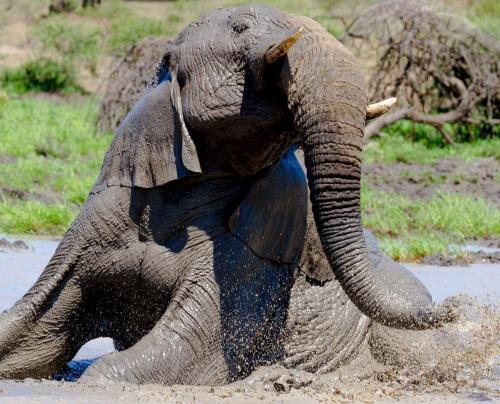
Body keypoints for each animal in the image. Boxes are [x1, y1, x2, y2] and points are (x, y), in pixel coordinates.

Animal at [0, 3, 454, 386]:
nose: (454, 307)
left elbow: (187, 354)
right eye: (240, 28)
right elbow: (29, 332)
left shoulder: (252, 255)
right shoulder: (100, 217)